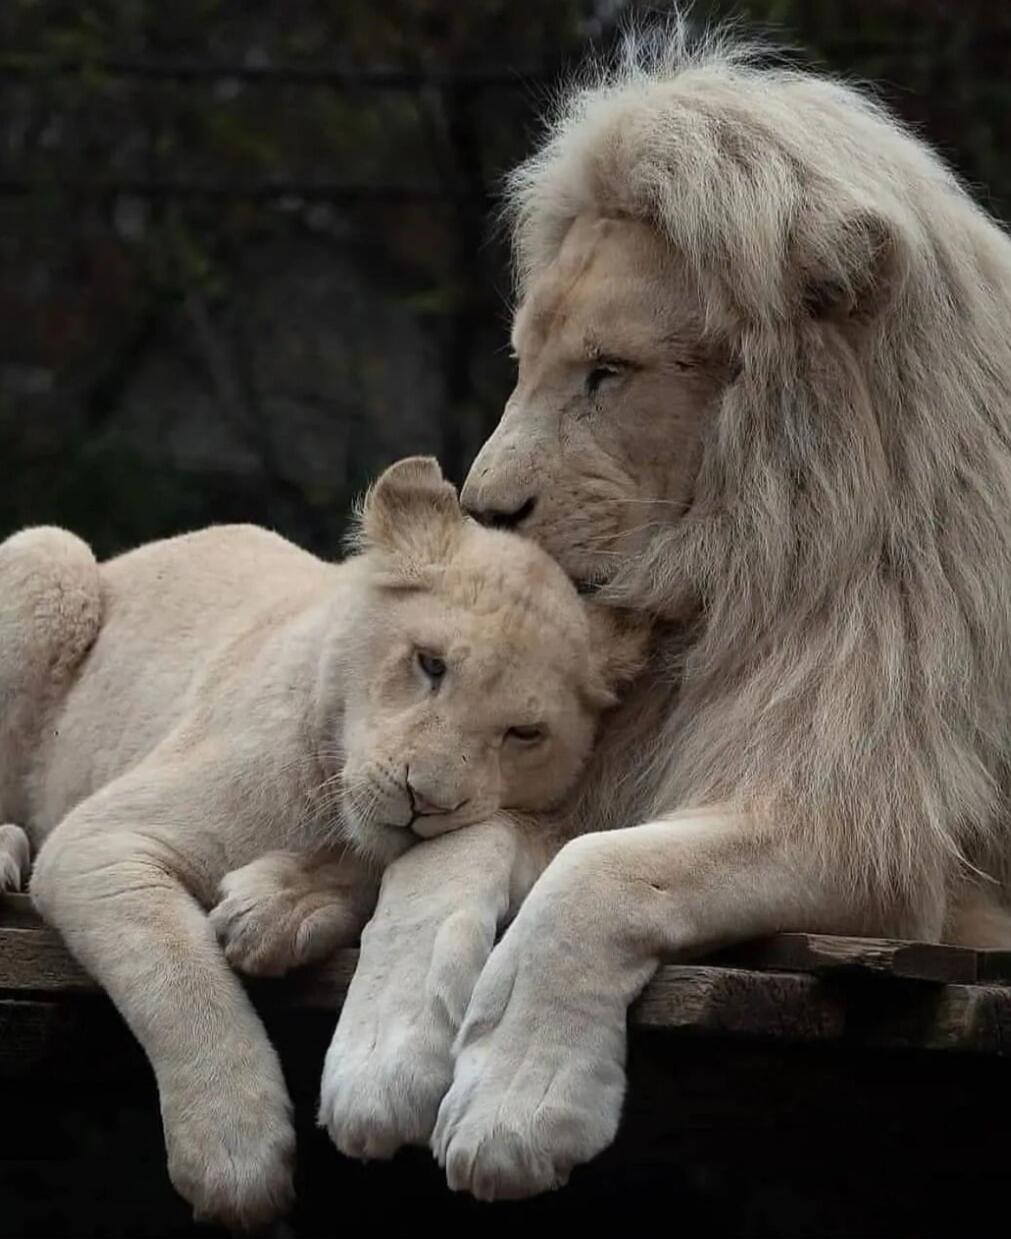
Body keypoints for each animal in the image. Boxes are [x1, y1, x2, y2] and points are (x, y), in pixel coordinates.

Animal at [0, 456, 643, 1227]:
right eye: (430, 664)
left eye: (524, 733)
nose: (423, 799)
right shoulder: (98, 842)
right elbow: (180, 981)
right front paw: (236, 1158)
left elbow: (373, 862)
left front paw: (277, 910)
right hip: (48, 556)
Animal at [316, 19, 1011, 1204]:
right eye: (525, 363)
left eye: (608, 372)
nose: (485, 508)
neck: (729, 580)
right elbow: (444, 854)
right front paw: (379, 1063)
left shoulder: (874, 838)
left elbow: (599, 873)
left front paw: (515, 1103)